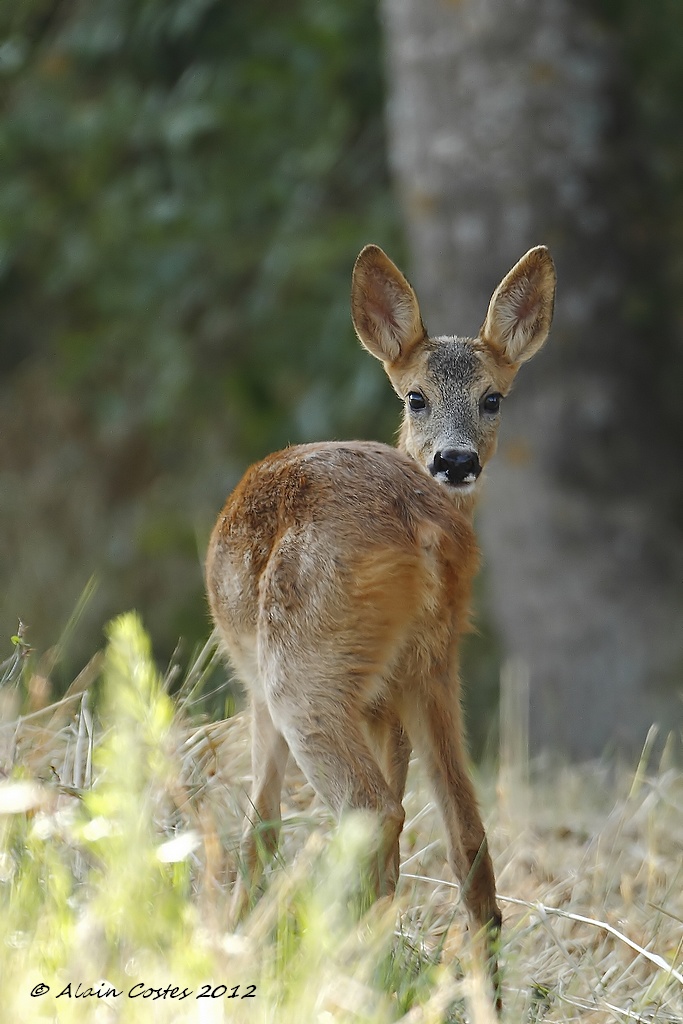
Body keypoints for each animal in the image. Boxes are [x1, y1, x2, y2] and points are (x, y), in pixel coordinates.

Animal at [205, 241, 557, 1007]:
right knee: (467, 838)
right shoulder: (386, 701)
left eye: (493, 397)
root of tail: (424, 527)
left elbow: (260, 823)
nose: (455, 460)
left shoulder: (259, 688)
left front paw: (233, 939)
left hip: (299, 671)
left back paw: (346, 972)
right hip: (434, 665)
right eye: (414, 396)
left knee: (373, 812)